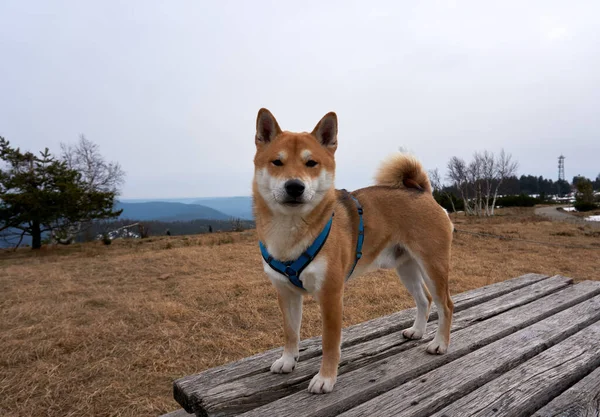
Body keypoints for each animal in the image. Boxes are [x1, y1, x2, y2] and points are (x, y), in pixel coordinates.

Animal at [251, 107, 452, 394]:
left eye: (311, 163)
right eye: (277, 162)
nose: (294, 186)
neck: (289, 231)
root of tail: (422, 192)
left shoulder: (331, 294)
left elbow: (329, 343)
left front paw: (325, 378)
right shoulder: (285, 293)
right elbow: (291, 333)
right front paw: (288, 360)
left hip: (433, 266)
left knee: (445, 304)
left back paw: (439, 343)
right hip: (406, 268)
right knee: (424, 300)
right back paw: (417, 331)